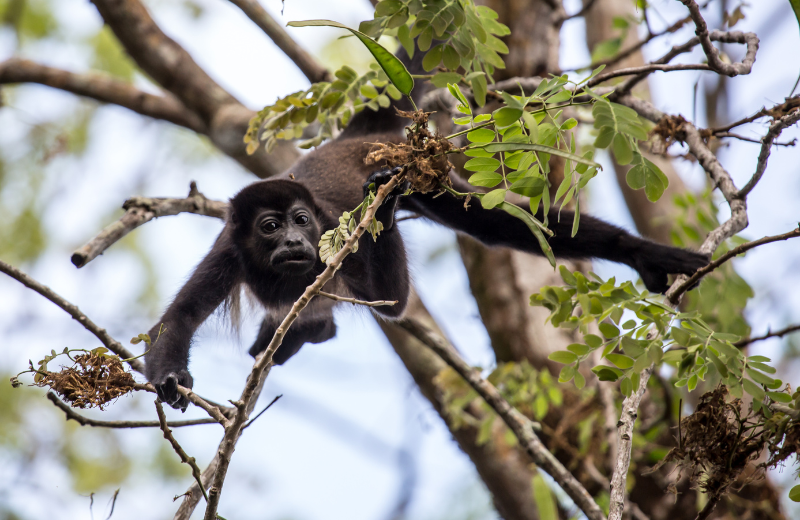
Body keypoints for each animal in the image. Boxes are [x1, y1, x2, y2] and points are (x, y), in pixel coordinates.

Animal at [144, 52, 708, 412]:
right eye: (269, 227)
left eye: (301, 221)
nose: (293, 243)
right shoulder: (229, 251)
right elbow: (180, 315)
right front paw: (171, 377)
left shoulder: (334, 241)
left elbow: (393, 303)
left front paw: (385, 210)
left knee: (492, 223)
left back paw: (641, 252)